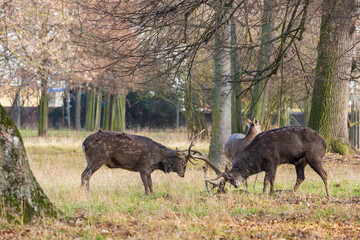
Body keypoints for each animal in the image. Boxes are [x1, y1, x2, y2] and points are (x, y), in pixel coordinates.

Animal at [190, 126, 330, 196]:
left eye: (230, 177)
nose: (236, 185)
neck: (257, 158)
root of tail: (325, 143)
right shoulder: (274, 165)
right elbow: (273, 180)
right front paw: (271, 193)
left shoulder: (272, 162)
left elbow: (266, 180)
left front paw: (263, 194)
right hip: (300, 162)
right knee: (301, 177)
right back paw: (292, 192)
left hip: (314, 157)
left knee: (324, 174)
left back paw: (328, 194)